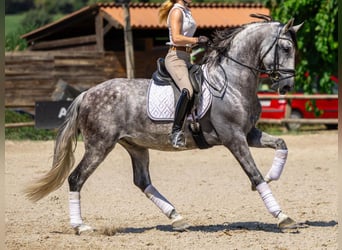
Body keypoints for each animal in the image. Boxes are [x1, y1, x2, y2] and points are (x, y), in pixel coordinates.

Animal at [25, 17, 302, 234]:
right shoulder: (233, 137)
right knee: (76, 178)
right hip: (99, 146)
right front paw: (282, 216)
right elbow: (254, 173)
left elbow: (281, 144)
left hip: (135, 146)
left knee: (142, 181)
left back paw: (177, 217)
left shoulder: (249, 133)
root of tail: (86, 94)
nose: (287, 86)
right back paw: (80, 226)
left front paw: (273, 174)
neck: (232, 81)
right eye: (286, 47)